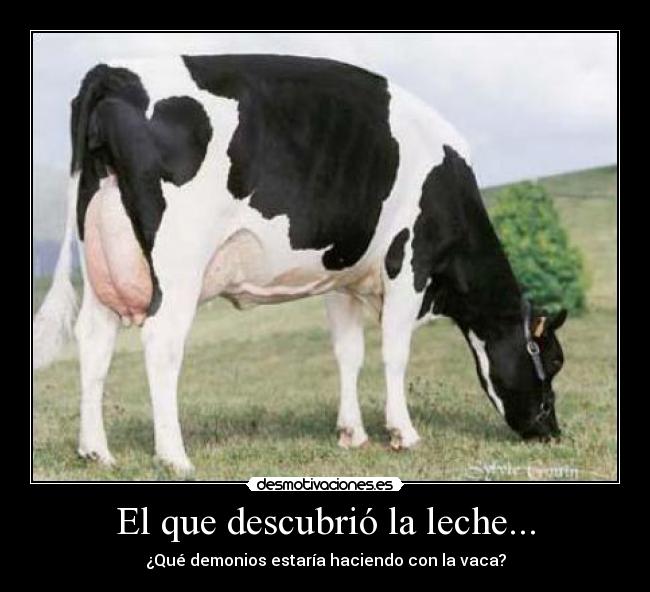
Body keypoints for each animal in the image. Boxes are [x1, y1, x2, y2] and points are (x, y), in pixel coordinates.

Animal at [33, 54, 567, 475]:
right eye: (553, 359)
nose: (552, 430)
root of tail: (114, 72)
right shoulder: (409, 264)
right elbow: (395, 353)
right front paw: (403, 433)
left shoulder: (343, 278)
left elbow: (349, 353)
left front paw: (353, 434)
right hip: (179, 259)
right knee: (161, 341)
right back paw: (174, 457)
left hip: (105, 258)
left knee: (94, 341)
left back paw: (97, 452)